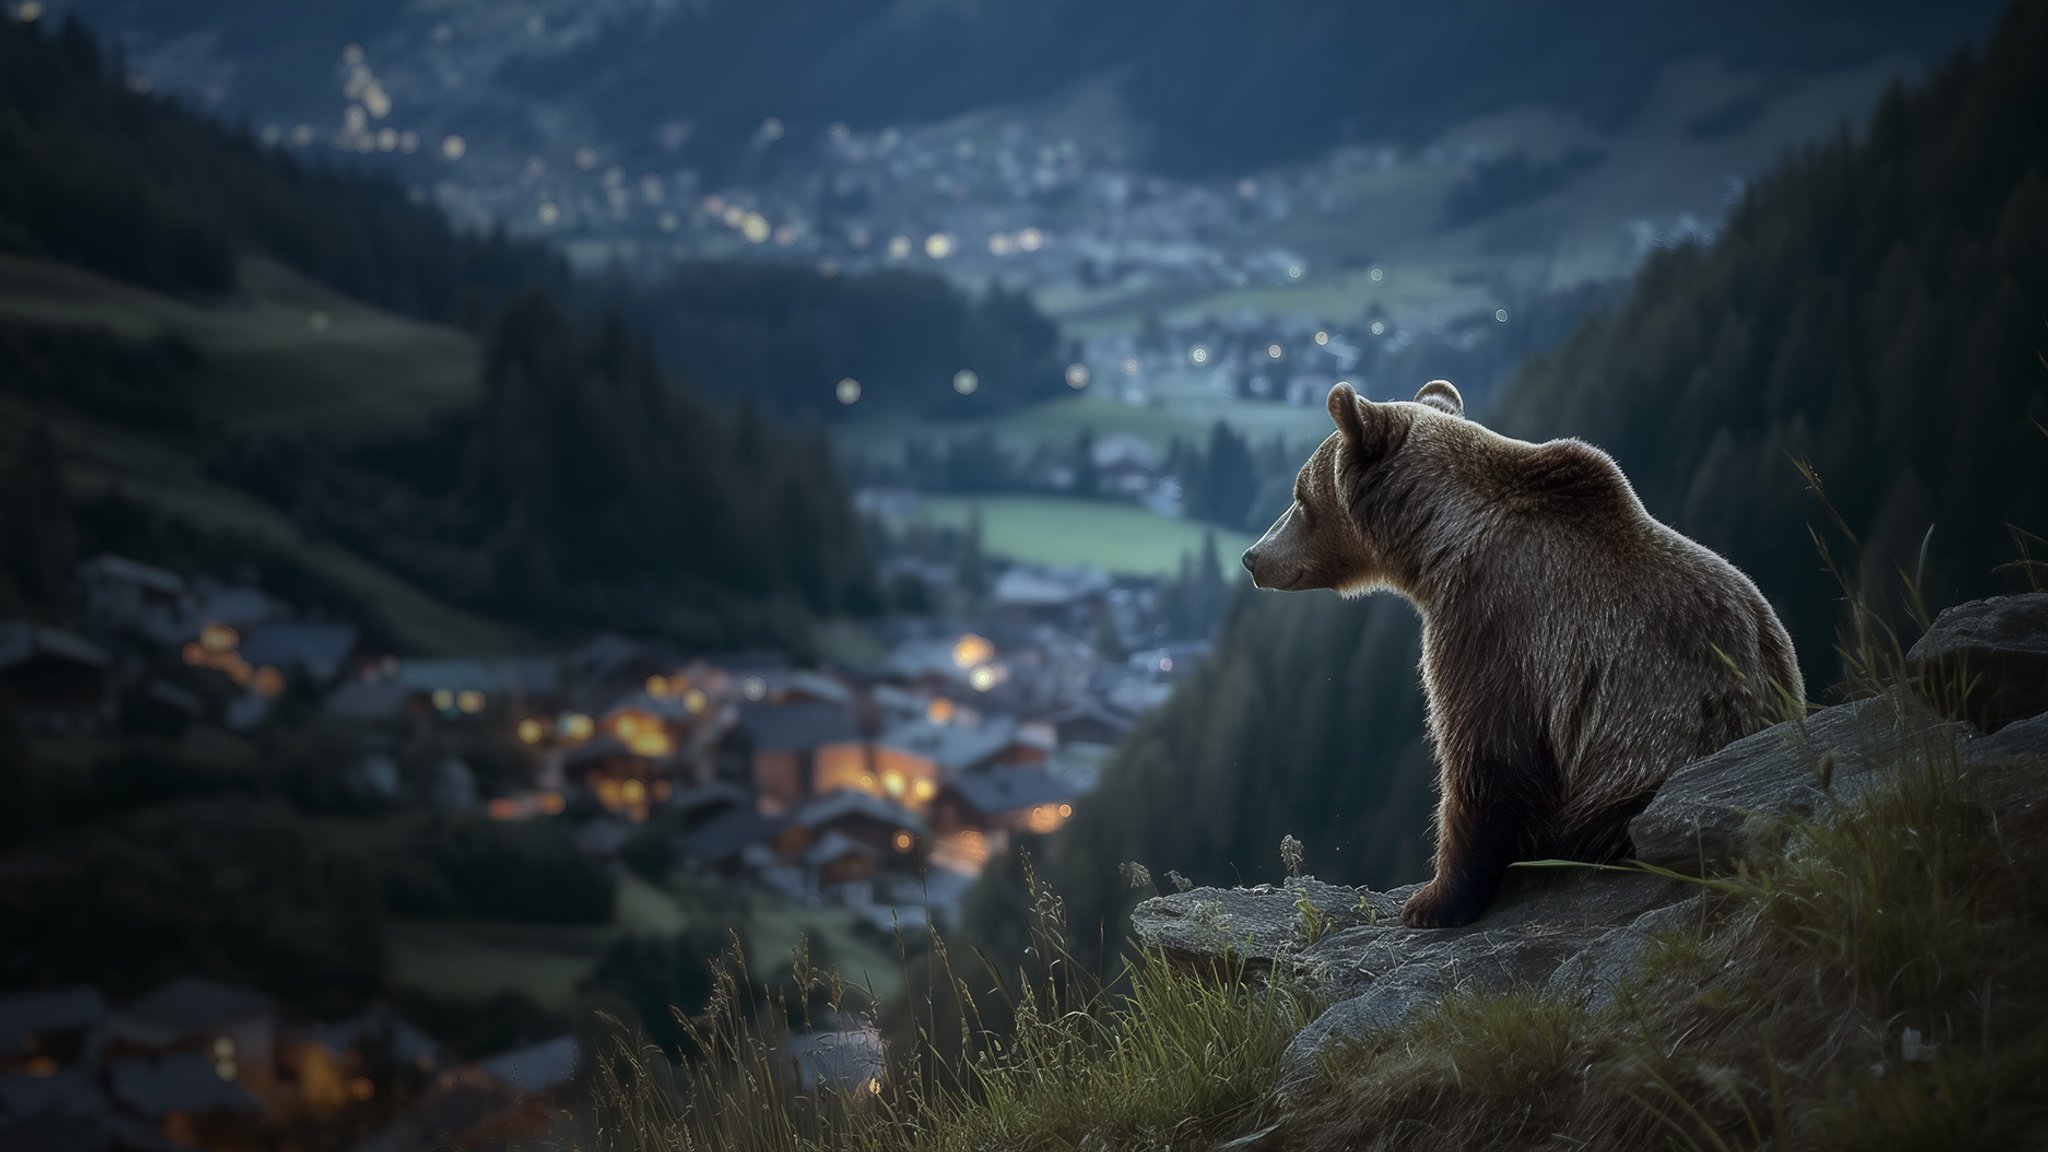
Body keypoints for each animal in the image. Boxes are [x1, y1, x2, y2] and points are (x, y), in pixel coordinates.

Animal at [1236, 381, 1802, 926]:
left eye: (1300, 496)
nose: (1252, 557)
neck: (1436, 541)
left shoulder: (1495, 623)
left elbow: (1486, 756)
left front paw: (1432, 901)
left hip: (1636, 778)